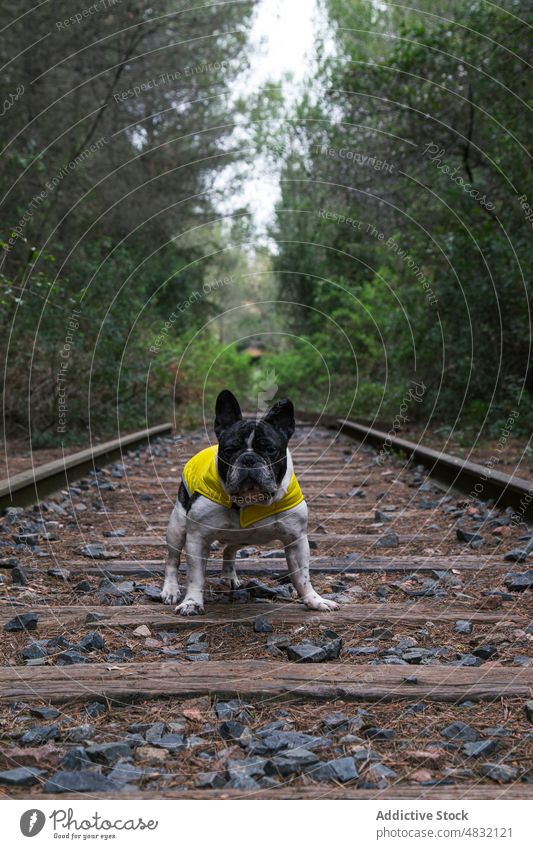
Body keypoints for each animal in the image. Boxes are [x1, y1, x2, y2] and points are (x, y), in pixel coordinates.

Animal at [160, 390, 338, 616]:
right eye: (229, 450)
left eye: (270, 449)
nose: (248, 459)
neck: (251, 501)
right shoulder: (197, 538)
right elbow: (195, 576)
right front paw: (192, 602)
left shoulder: (296, 539)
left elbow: (302, 576)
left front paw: (314, 600)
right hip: (177, 527)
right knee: (172, 559)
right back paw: (170, 590)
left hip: (242, 537)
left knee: (230, 549)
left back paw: (229, 576)